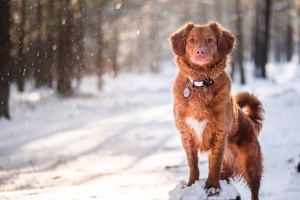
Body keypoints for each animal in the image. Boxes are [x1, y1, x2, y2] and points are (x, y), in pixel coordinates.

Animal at [170, 21, 264, 199]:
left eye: (210, 40)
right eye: (191, 40)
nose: (200, 51)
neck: (201, 82)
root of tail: (250, 121)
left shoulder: (220, 133)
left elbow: (214, 163)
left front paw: (212, 186)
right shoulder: (186, 133)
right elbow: (193, 164)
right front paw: (191, 184)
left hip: (251, 164)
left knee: (255, 190)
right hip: (228, 170)